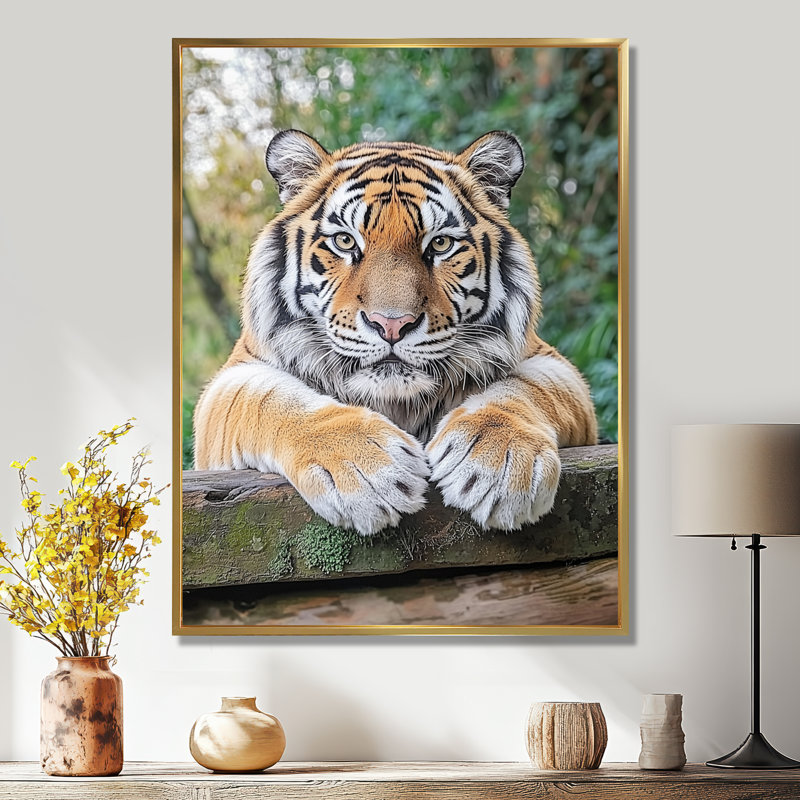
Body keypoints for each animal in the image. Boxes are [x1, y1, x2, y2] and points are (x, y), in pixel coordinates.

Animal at [193, 129, 598, 535]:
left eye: (440, 243)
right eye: (345, 241)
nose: (391, 324)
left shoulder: (551, 364)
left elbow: (523, 390)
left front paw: (499, 465)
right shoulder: (232, 379)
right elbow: (270, 402)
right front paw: (367, 471)